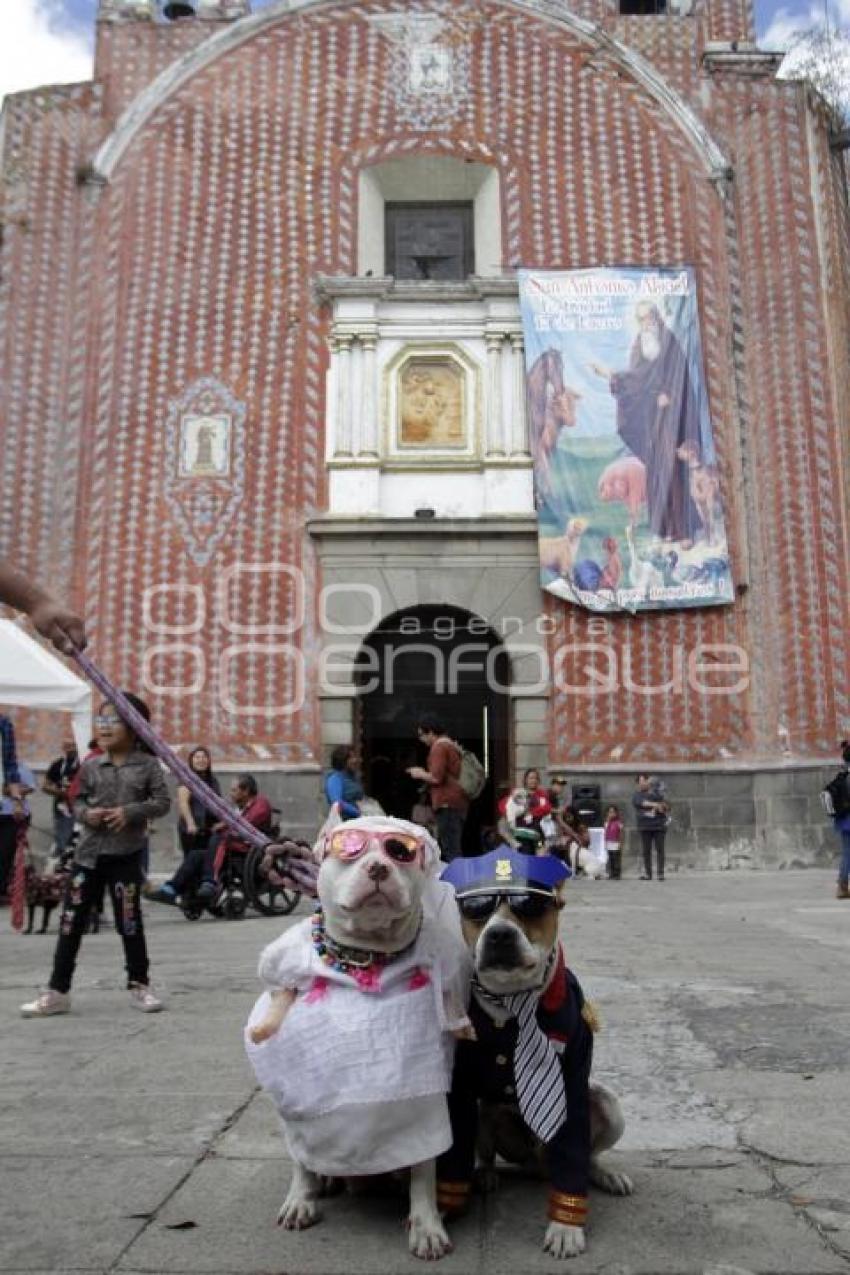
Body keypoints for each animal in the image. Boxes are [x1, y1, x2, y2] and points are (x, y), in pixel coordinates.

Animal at [438, 851, 632, 1259]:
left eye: (529, 906)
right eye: (477, 910)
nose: (499, 934)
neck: (512, 999)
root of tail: (537, 1165)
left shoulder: (572, 1077)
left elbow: (574, 1146)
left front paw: (565, 1226)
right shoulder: (459, 1085)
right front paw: (443, 1208)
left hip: (607, 1104)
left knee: (587, 1154)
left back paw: (604, 1175)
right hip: (487, 1114)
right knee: (486, 1150)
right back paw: (485, 1174)